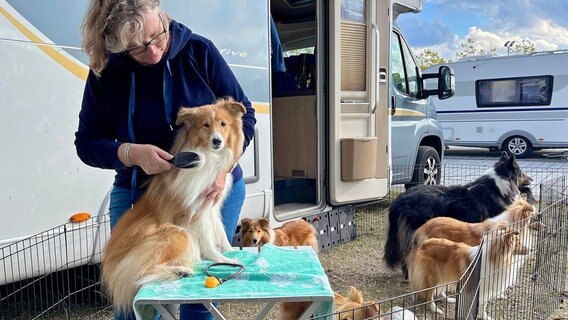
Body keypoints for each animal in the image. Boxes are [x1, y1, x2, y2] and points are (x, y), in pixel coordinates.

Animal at [100, 98, 246, 312]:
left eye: (223, 124)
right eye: (205, 125)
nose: (217, 141)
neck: (208, 156)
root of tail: (112, 261)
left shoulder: (211, 206)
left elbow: (218, 230)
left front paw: (228, 250)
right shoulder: (196, 210)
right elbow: (208, 239)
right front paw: (222, 259)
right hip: (177, 234)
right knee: (142, 269)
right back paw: (180, 270)